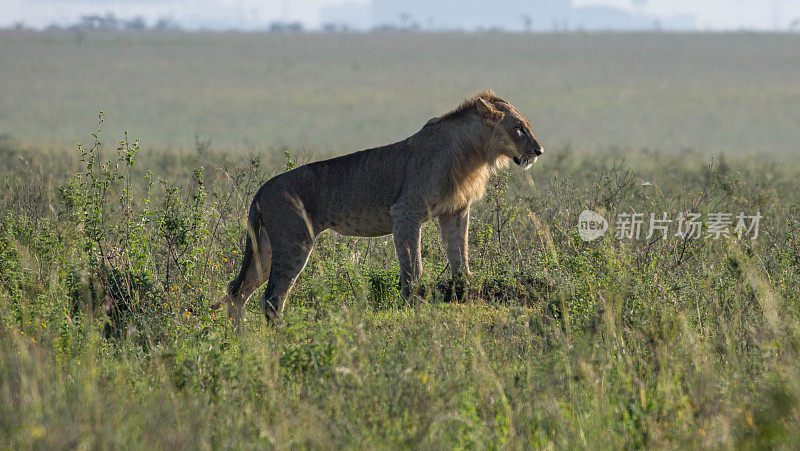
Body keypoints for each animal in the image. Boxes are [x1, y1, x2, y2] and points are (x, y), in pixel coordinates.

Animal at [219, 91, 544, 322]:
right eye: (519, 128)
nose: (539, 151)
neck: (474, 152)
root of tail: (261, 190)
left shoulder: (455, 212)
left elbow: (459, 256)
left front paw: (463, 290)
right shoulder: (406, 212)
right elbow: (413, 266)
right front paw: (413, 305)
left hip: (265, 248)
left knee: (237, 292)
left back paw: (241, 343)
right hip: (294, 242)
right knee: (272, 298)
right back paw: (280, 341)